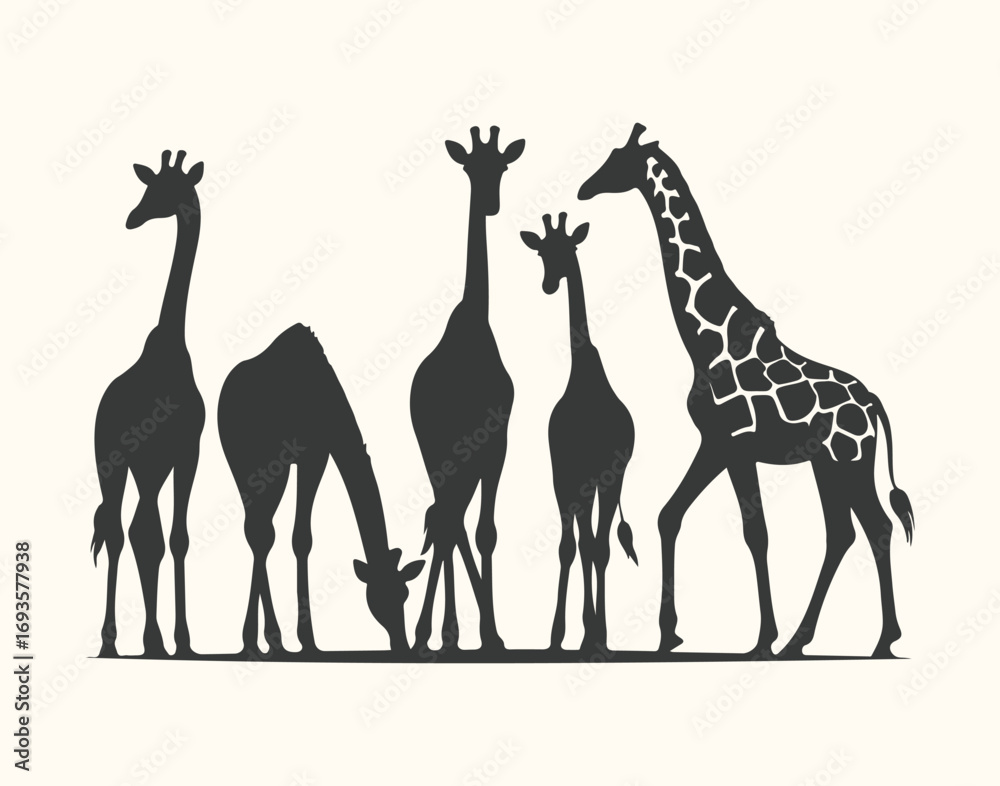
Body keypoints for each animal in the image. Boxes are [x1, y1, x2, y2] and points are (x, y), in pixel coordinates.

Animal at [218, 324, 423, 656]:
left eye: (404, 593)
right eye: (378, 597)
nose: (401, 645)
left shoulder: (317, 454)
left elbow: (302, 538)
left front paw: (308, 641)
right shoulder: (295, 456)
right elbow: (288, 536)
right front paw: (296, 640)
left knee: (260, 530)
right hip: (248, 462)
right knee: (260, 532)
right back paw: (262, 640)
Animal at [520, 212, 638, 651]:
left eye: (569, 248)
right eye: (541, 252)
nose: (549, 284)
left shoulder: (609, 474)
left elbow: (599, 549)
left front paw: (598, 635)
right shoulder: (565, 474)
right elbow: (570, 548)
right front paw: (560, 635)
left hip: (601, 482)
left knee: (596, 545)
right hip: (575, 483)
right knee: (579, 545)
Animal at [578, 124, 914, 658]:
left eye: (617, 160)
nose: (583, 189)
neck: (706, 340)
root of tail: (874, 403)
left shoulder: (735, 446)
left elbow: (755, 533)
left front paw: (761, 640)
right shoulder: (715, 444)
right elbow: (669, 515)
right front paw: (669, 634)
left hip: (851, 460)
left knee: (876, 527)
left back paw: (881, 640)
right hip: (826, 464)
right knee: (843, 532)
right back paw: (804, 640)